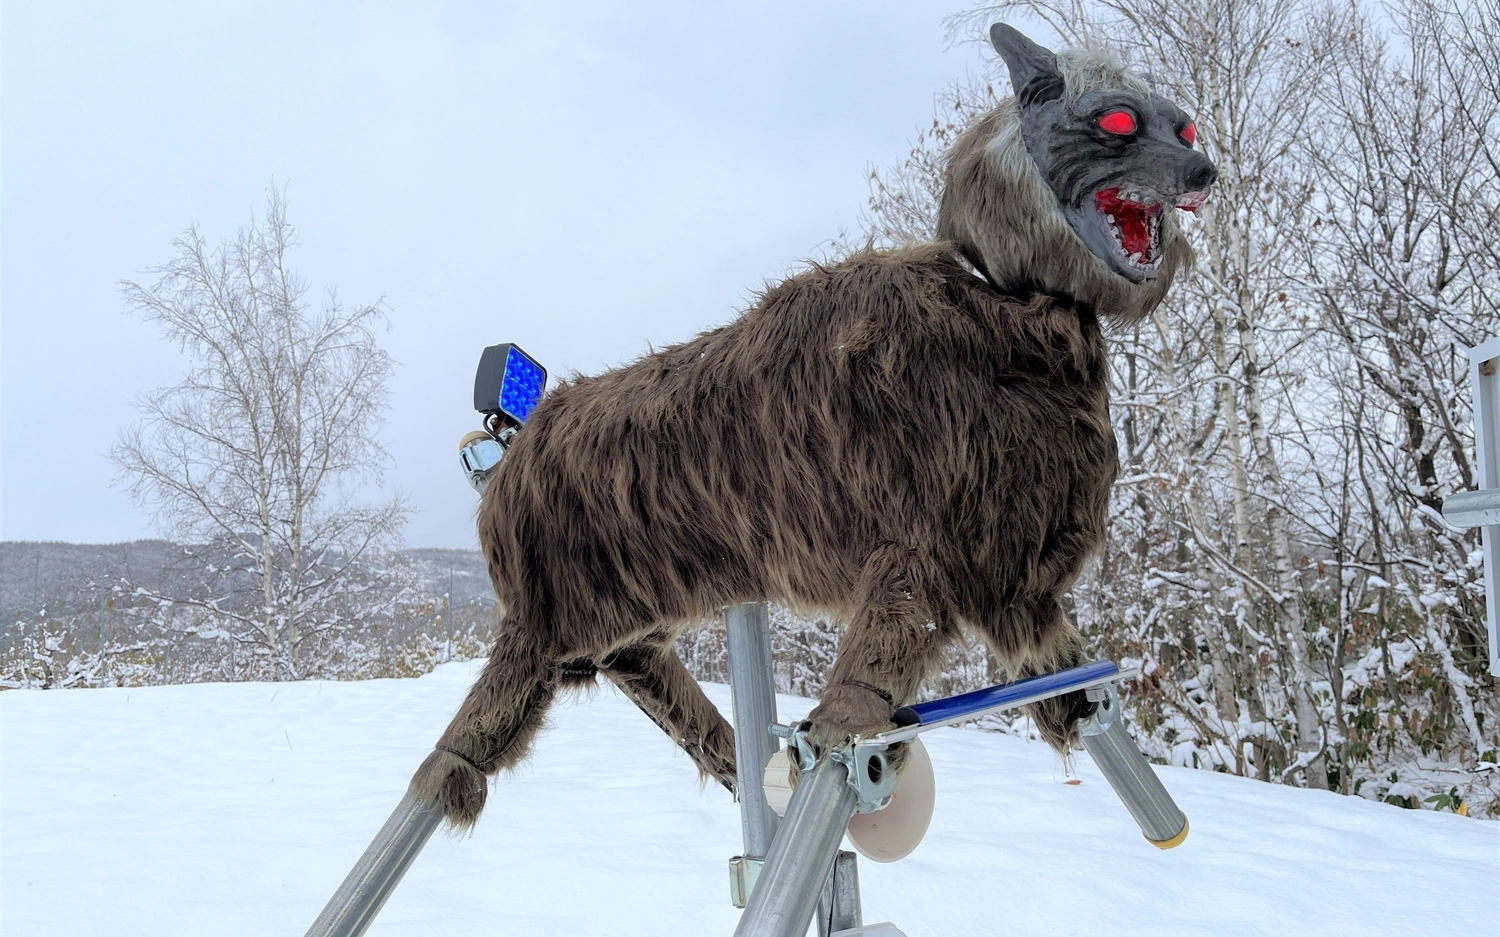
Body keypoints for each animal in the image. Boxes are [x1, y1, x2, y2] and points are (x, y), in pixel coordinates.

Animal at [410, 24, 1217, 828]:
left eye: (1184, 125)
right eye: (1118, 121)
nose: (1203, 169)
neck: (1015, 326)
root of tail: (505, 460)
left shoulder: (1010, 571)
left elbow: (1055, 658)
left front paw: (1079, 710)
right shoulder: (922, 544)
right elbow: (873, 676)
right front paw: (842, 731)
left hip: (623, 629)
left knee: (666, 693)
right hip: (544, 627)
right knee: (475, 732)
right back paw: (443, 773)